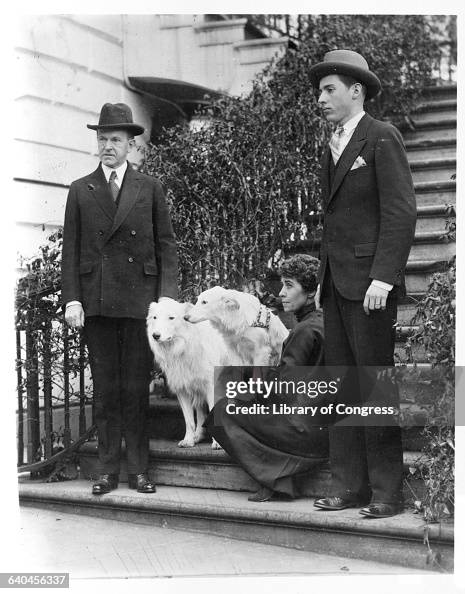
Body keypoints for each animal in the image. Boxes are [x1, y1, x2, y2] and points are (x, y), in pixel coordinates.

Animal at [147, 298, 236, 446]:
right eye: (155, 317)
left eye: (171, 318)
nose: (155, 336)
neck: (183, 347)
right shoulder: (182, 389)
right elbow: (189, 420)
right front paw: (188, 440)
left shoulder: (211, 387)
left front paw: (217, 444)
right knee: (200, 413)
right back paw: (197, 436)